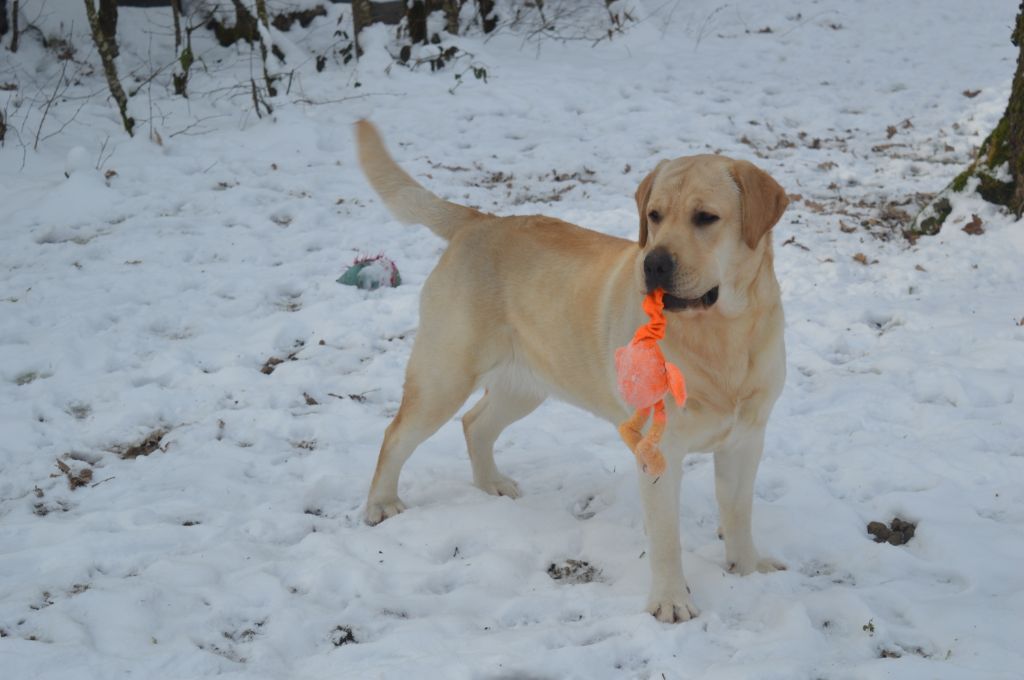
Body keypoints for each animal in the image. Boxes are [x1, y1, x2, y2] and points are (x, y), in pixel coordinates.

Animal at [356, 120, 786, 622]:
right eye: (655, 215)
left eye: (705, 217)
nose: (654, 263)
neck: (722, 335)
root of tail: (480, 220)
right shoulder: (659, 449)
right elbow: (666, 540)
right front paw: (670, 601)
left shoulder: (746, 439)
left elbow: (738, 515)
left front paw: (749, 569)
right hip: (445, 374)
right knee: (396, 434)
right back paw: (382, 503)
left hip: (525, 385)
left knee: (474, 423)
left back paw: (491, 484)